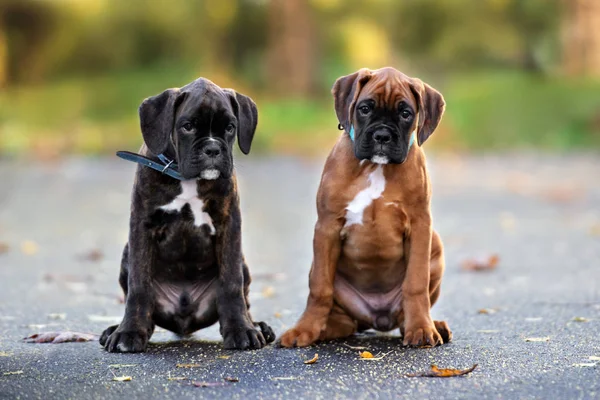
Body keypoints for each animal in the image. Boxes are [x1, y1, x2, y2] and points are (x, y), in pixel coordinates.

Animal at [100, 76, 274, 352]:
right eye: (188, 126)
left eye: (230, 127)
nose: (212, 149)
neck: (185, 178)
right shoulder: (142, 227)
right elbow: (138, 286)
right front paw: (128, 333)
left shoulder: (229, 225)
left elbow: (231, 282)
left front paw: (241, 330)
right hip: (127, 254)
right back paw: (114, 329)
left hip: (244, 264)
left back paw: (257, 326)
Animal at [280, 68, 450, 346]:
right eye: (365, 108)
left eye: (406, 113)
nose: (382, 136)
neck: (376, 167)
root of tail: (377, 318)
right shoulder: (327, 228)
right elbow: (319, 288)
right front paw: (304, 329)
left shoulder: (420, 227)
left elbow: (416, 283)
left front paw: (422, 329)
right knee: (345, 320)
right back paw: (322, 329)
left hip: (435, 246)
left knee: (405, 313)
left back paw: (430, 325)